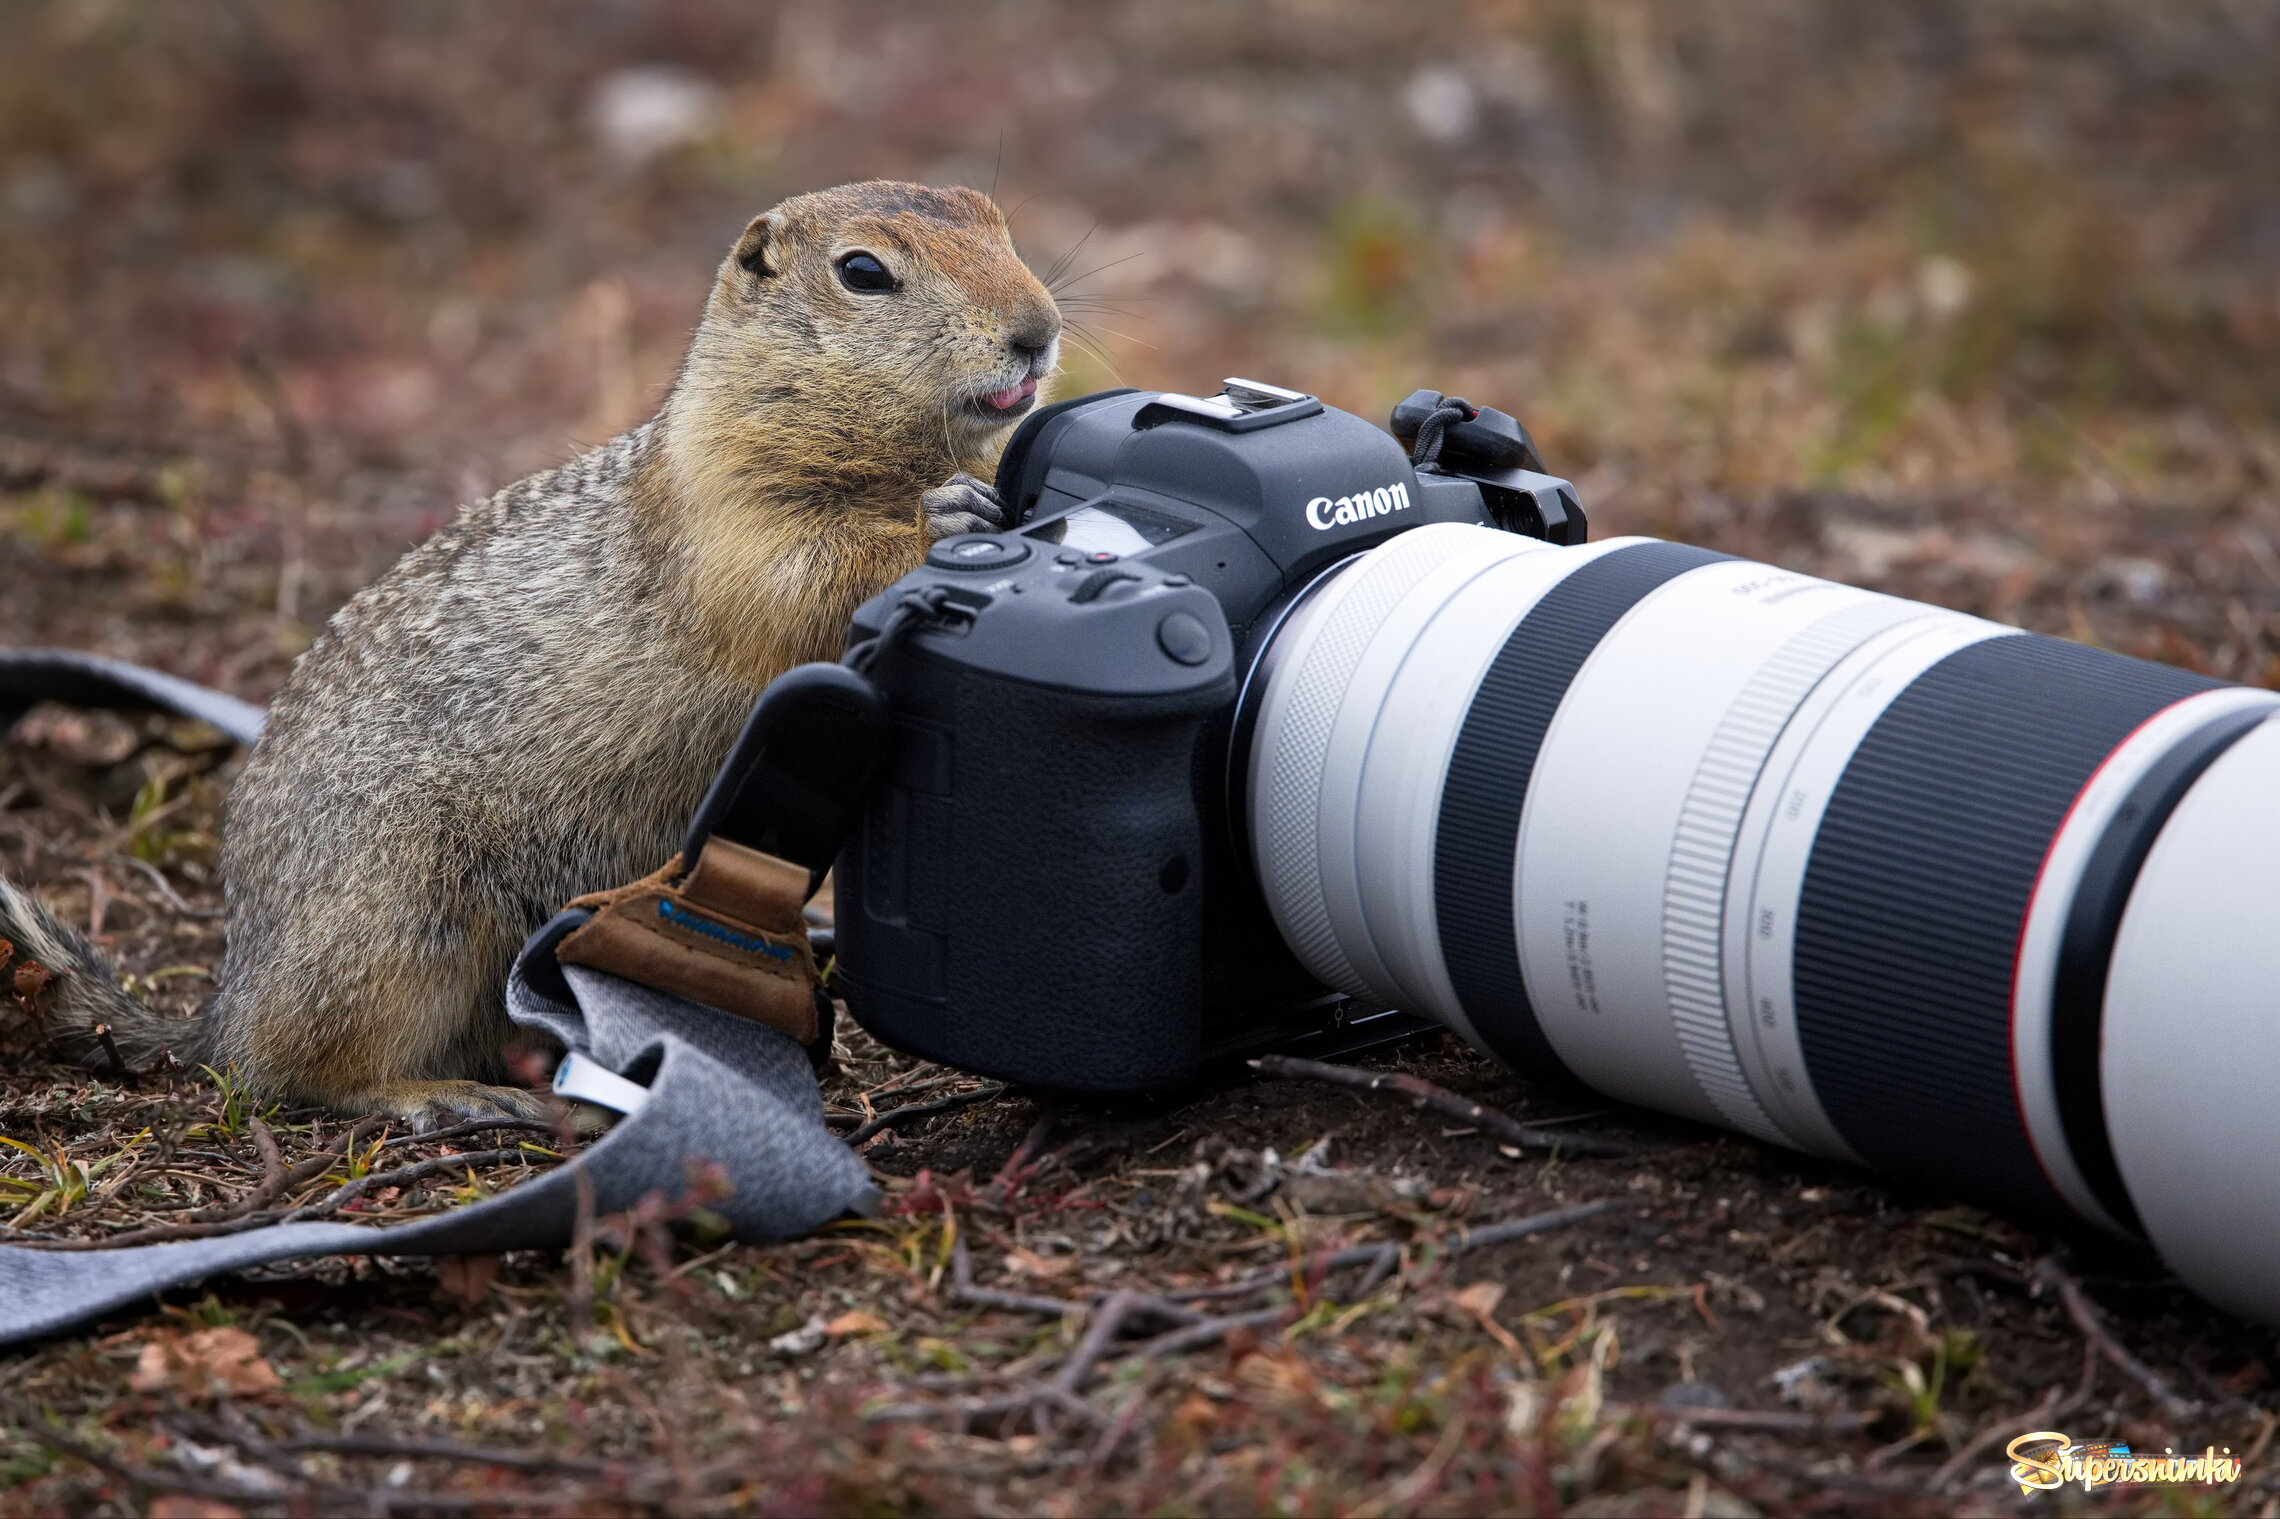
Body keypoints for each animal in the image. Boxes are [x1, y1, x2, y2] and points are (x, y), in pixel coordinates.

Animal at [2, 177, 1057, 1122]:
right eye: (863, 272)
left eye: (999, 220)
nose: (1039, 329)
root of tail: (224, 997)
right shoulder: (732, 520)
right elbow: (804, 575)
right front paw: (944, 518)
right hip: (400, 915)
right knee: (292, 1068)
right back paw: (439, 1093)